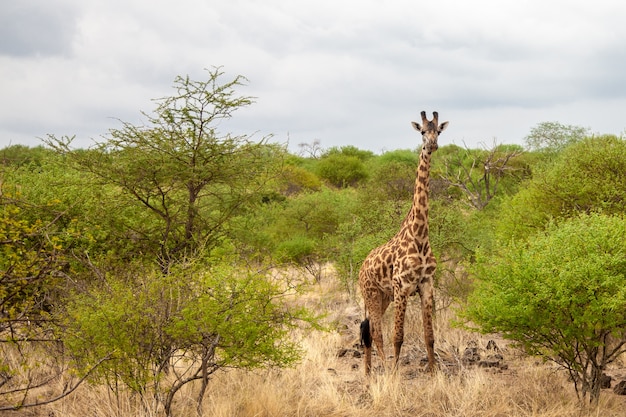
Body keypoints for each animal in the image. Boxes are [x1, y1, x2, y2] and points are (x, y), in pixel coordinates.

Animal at [358, 109, 446, 374]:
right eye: (422, 131)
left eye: (438, 132)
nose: (432, 145)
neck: (420, 235)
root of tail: (361, 267)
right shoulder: (402, 287)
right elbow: (398, 336)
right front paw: (395, 374)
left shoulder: (426, 286)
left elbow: (430, 337)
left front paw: (434, 373)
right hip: (371, 293)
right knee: (376, 333)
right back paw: (385, 371)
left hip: (382, 296)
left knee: (368, 329)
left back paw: (368, 373)